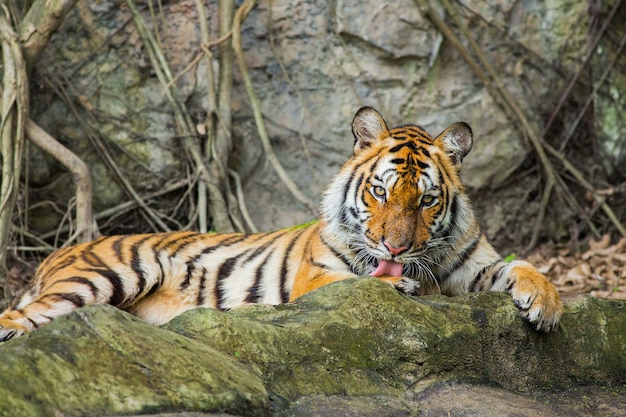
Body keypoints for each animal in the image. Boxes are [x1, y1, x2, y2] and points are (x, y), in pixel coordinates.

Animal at [0, 105, 560, 342]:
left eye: (426, 201)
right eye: (379, 191)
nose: (395, 249)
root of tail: (56, 252)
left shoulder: (474, 264)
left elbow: (522, 267)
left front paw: (546, 304)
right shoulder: (317, 276)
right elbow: (364, 284)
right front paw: (401, 287)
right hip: (110, 273)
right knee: (21, 315)